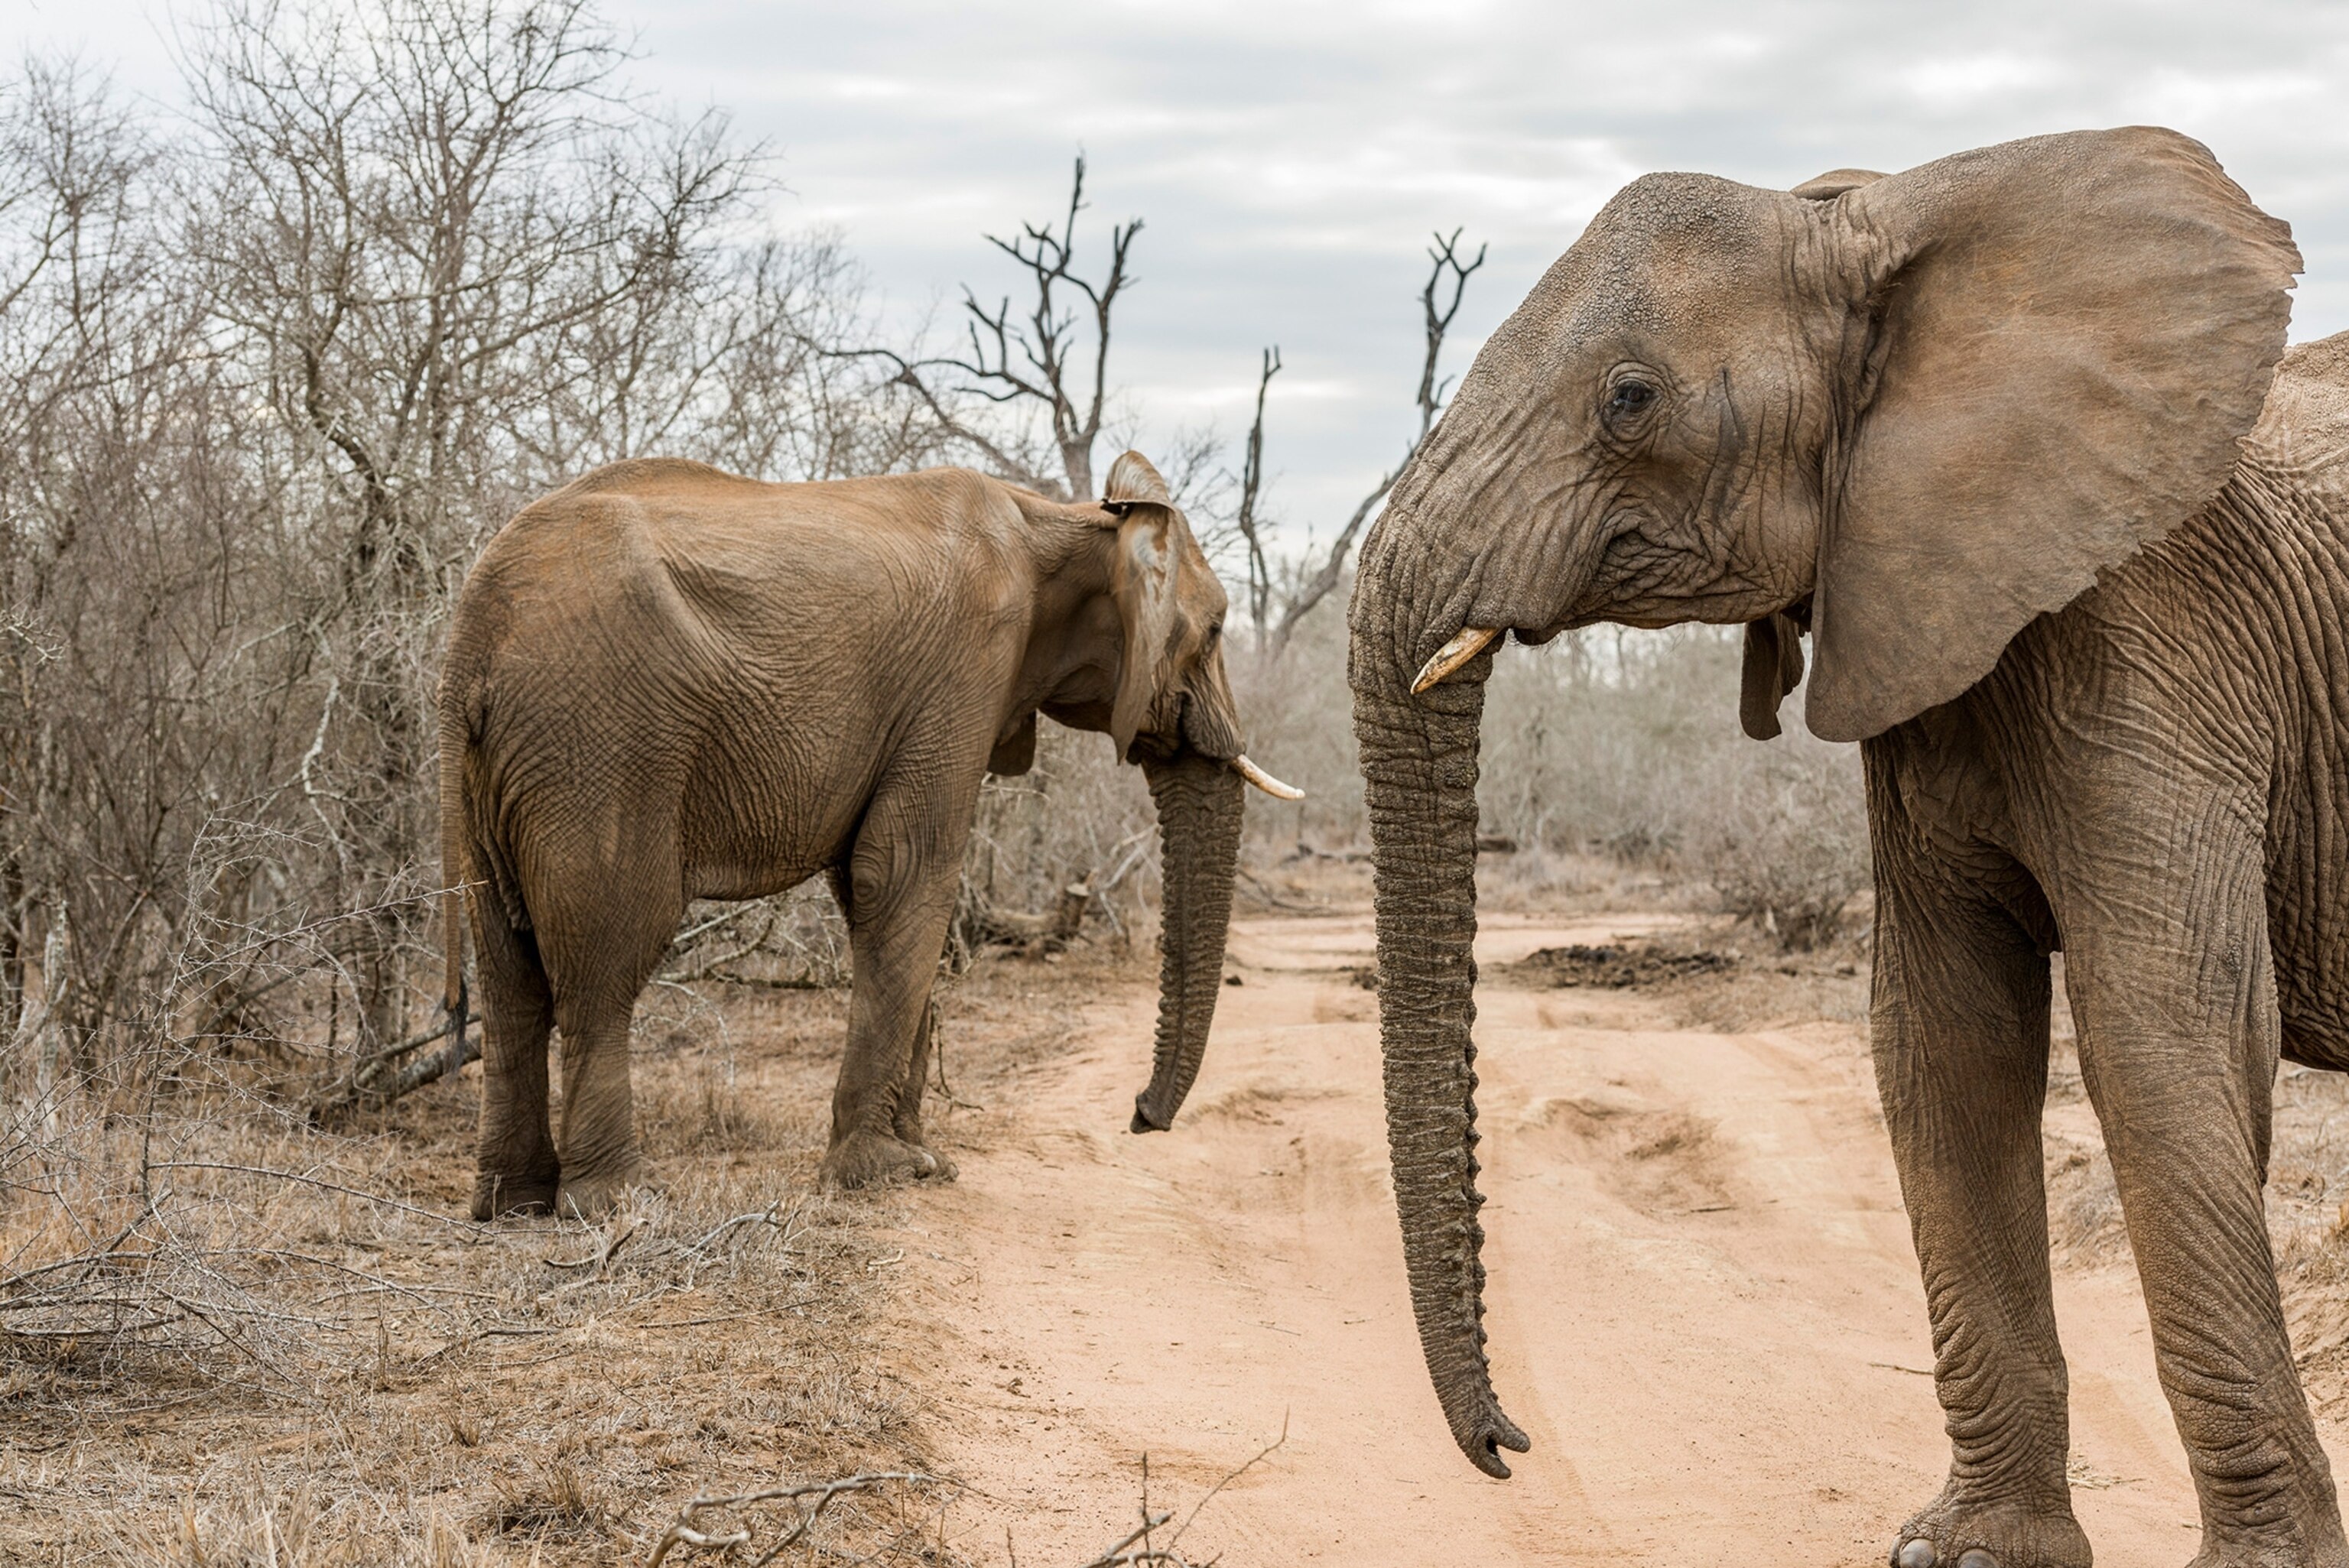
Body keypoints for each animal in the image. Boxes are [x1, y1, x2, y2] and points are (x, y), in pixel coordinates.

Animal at [437, 449, 1298, 1218]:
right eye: (1217, 629)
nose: (1141, 1116)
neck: (1069, 519)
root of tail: (465, 647)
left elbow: (871, 885)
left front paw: (926, 1162)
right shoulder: (966, 668)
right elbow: (907, 869)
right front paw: (887, 1173)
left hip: (511, 769)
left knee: (509, 965)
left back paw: (512, 1203)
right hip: (602, 744)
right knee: (606, 958)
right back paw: (620, 1203)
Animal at [1347, 126, 2349, 1566]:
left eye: (1630, 399)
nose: (1506, 1445)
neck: (1879, 222)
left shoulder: (2163, 628)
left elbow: (2155, 1020)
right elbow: (1942, 1035)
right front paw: (1970, 1551)